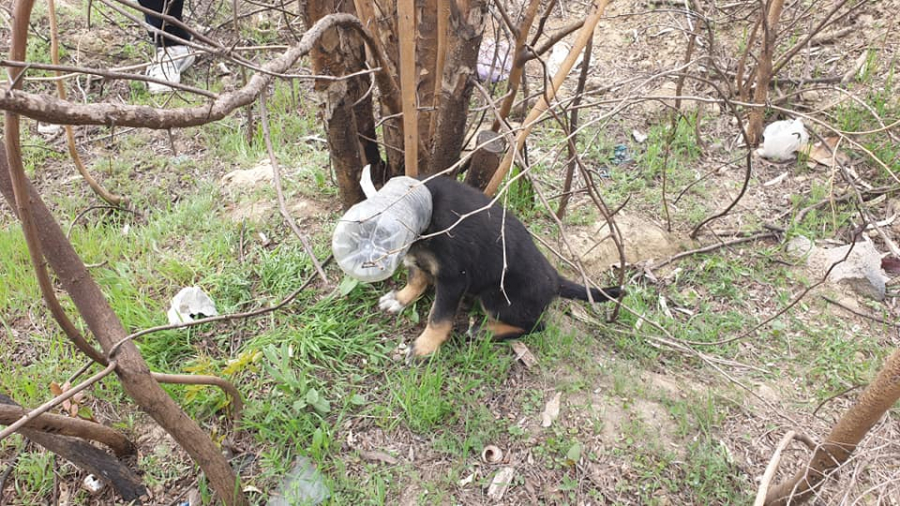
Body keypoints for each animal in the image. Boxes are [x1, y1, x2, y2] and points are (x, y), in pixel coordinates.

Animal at [378, 177, 620, 360]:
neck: (428, 210)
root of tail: (554, 279)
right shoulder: (418, 259)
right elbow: (416, 279)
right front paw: (399, 299)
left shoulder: (454, 279)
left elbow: (438, 317)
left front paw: (424, 348)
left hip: (496, 298)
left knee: (536, 325)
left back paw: (483, 330)